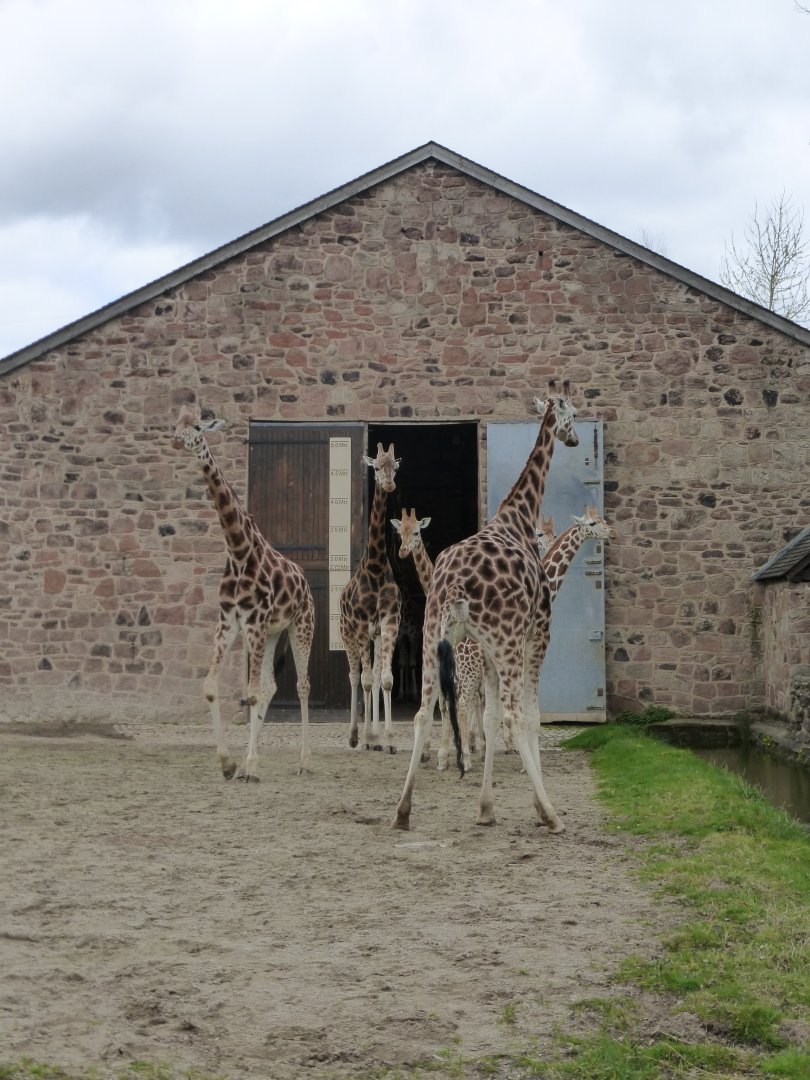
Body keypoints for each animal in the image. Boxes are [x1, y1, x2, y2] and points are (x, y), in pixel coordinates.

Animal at [171, 406, 315, 782]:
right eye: (174, 425)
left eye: (197, 427)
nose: (176, 440)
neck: (238, 552)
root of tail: (306, 585)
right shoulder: (230, 621)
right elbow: (212, 687)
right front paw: (229, 763)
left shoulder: (254, 621)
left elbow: (249, 694)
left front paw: (247, 766)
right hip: (274, 632)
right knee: (271, 686)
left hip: (300, 627)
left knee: (301, 685)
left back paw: (304, 761)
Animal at [393, 381, 579, 832]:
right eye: (575, 414)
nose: (576, 439)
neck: (518, 517)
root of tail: (455, 584)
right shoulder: (536, 634)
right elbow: (528, 716)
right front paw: (532, 805)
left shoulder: (487, 653)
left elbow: (490, 716)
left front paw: (486, 807)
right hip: (507, 641)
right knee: (512, 713)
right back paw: (552, 815)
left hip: (432, 639)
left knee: (423, 712)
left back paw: (402, 812)